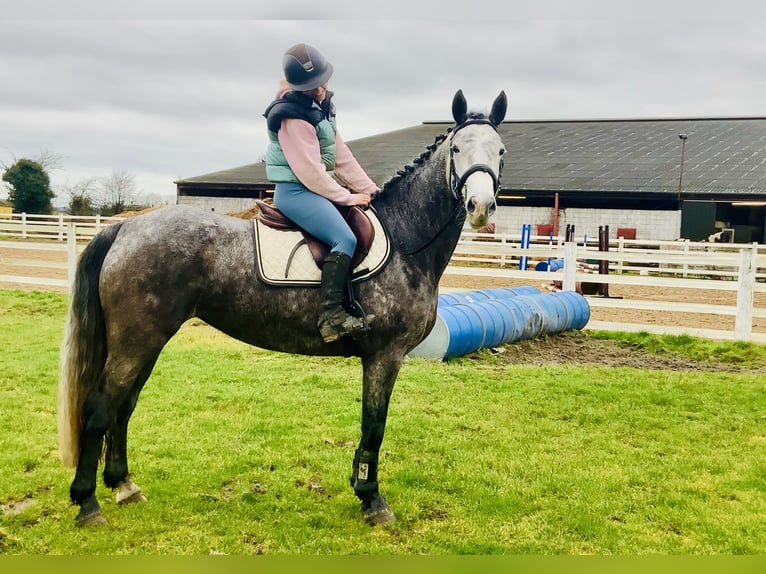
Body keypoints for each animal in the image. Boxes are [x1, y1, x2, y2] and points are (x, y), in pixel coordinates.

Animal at [57, 89, 507, 527]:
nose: (480, 207)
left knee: (124, 406)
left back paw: (124, 485)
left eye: (500, 150)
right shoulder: (385, 355)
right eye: (457, 149)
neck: (404, 238)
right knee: (100, 407)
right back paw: (87, 503)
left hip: (147, 340)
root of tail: (126, 227)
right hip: (136, 340)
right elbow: (374, 426)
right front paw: (372, 500)